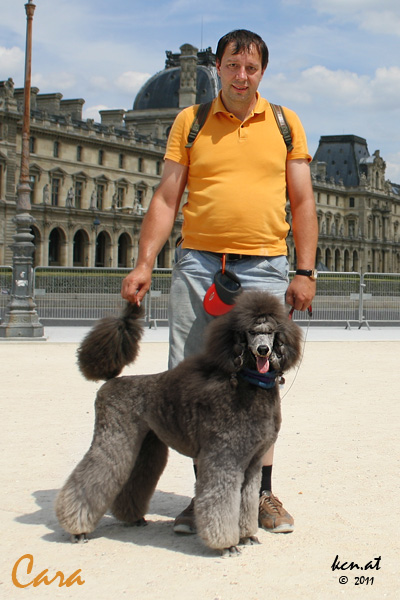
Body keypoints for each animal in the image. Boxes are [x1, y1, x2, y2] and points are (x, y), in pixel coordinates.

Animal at [55, 291, 302, 555]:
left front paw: (246, 535)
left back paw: (132, 517)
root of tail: (111, 381)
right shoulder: (224, 458)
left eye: (272, 332)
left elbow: (246, 501)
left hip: (143, 442)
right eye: (251, 332)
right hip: (114, 437)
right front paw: (226, 544)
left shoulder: (253, 462)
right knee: (91, 476)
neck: (249, 385)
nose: (264, 350)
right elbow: (221, 501)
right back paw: (77, 529)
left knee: (133, 476)